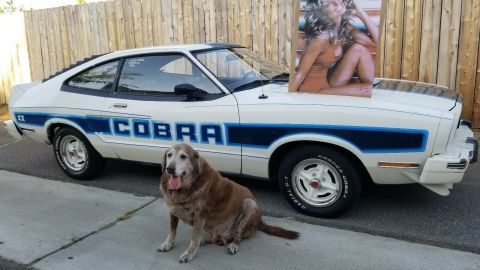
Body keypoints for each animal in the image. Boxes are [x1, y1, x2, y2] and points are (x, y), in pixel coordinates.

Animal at [159, 144, 298, 262]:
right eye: (169, 155)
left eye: (183, 156)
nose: (169, 169)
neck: (186, 187)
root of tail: (259, 220)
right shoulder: (173, 211)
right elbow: (172, 231)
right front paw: (168, 244)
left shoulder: (200, 215)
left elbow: (194, 239)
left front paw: (189, 254)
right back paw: (206, 239)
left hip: (250, 205)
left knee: (239, 235)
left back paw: (233, 244)